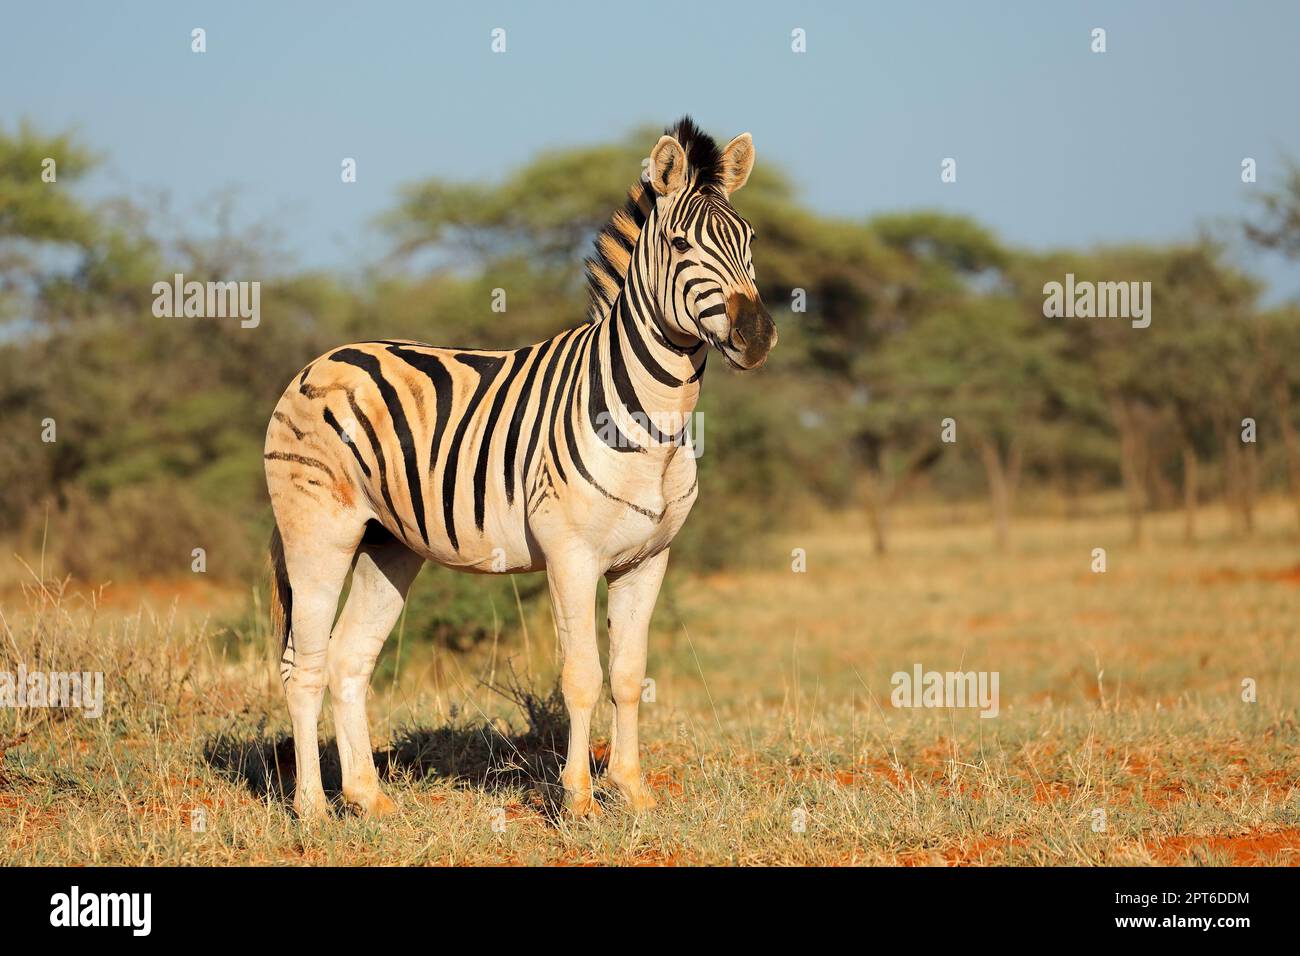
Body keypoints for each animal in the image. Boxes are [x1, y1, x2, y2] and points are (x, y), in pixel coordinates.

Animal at [261, 117, 769, 822]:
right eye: (678, 243)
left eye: (750, 239)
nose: (758, 334)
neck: (654, 425)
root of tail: (325, 357)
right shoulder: (571, 555)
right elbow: (582, 675)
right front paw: (579, 799)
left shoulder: (648, 560)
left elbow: (629, 676)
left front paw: (633, 792)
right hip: (317, 533)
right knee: (303, 665)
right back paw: (312, 807)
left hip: (387, 545)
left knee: (347, 659)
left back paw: (368, 798)